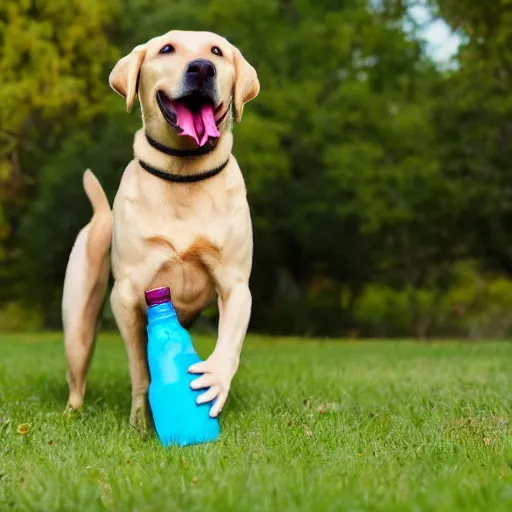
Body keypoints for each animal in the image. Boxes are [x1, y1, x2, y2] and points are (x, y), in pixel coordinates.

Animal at [61, 30, 258, 430]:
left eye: (217, 51)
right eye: (167, 49)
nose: (202, 68)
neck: (183, 174)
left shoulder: (235, 284)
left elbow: (228, 343)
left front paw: (212, 383)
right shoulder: (126, 295)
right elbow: (141, 366)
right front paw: (142, 419)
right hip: (78, 319)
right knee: (77, 370)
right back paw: (71, 414)